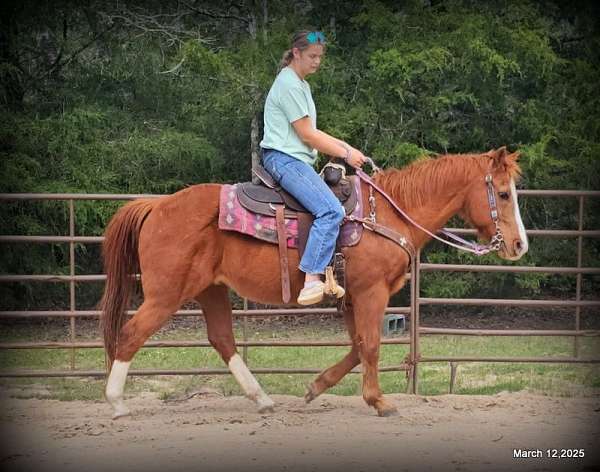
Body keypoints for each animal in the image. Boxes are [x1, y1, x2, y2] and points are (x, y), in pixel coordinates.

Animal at [101, 147, 528, 416]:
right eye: (503, 194)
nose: (520, 245)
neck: (390, 214)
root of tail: (157, 205)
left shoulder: (352, 298)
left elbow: (358, 347)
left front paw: (316, 387)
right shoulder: (371, 293)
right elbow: (371, 346)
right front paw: (380, 402)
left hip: (210, 290)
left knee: (222, 340)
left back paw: (262, 399)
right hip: (167, 294)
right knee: (131, 334)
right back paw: (117, 403)